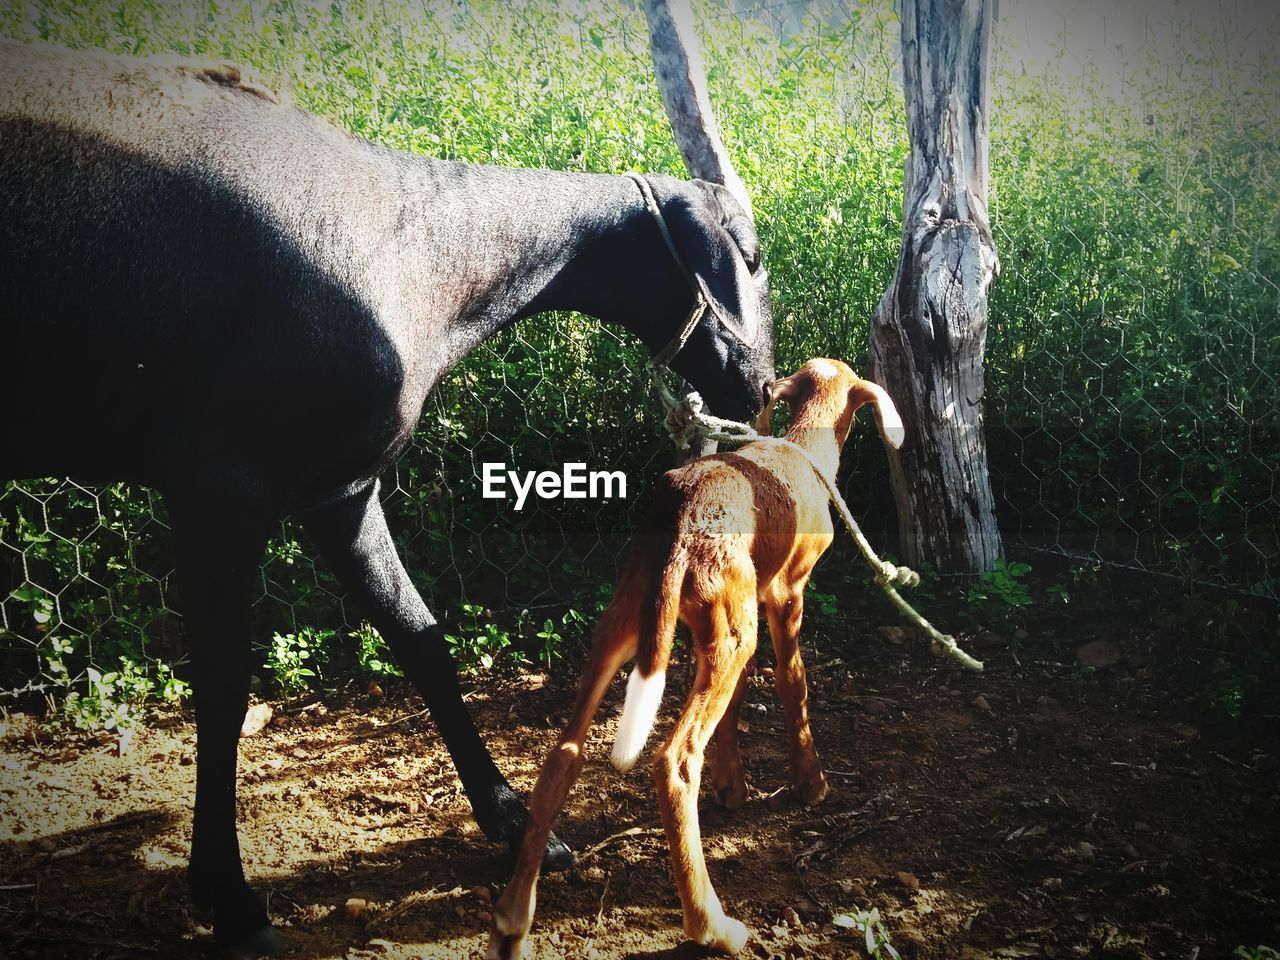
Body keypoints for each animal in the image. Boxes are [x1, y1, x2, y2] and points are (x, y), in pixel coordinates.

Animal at [0, 41, 773, 957]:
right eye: (749, 255)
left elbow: (423, 641)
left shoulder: (340, 495)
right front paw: (227, 895)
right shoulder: (218, 499)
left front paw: (513, 822)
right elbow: (223, 693)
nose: (763, 387)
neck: (405, 245)